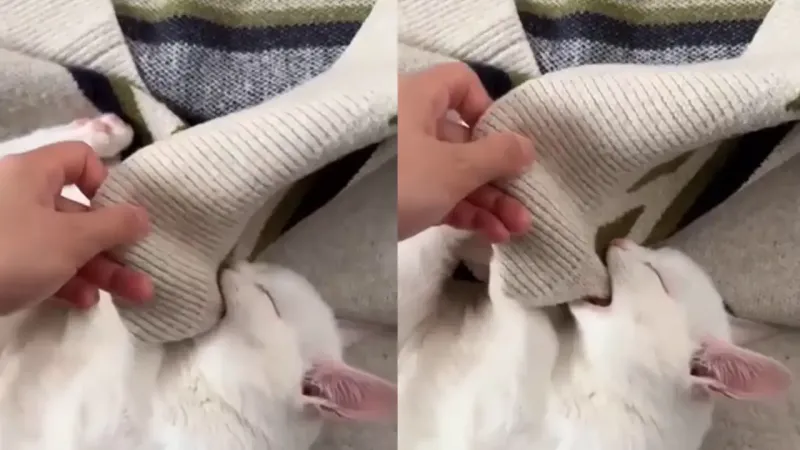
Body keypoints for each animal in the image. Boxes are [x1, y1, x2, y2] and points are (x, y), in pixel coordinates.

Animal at [398, 225, 792, 450]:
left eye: (656, 275)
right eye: (657, 254)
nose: (620, 239)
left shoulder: (492, 417)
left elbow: (530, 332)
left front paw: (503, 261)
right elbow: (416, 258)